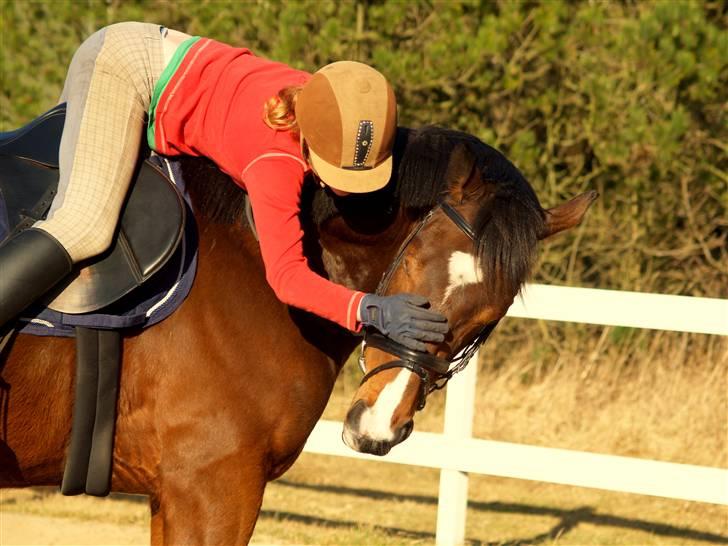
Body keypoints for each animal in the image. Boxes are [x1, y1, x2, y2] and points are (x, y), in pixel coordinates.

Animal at [0, 125, 596, 540]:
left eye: (487, 319)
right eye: (411, 266)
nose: (377, 427)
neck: (252, 258)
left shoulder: (173, 495)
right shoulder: (212, 490)